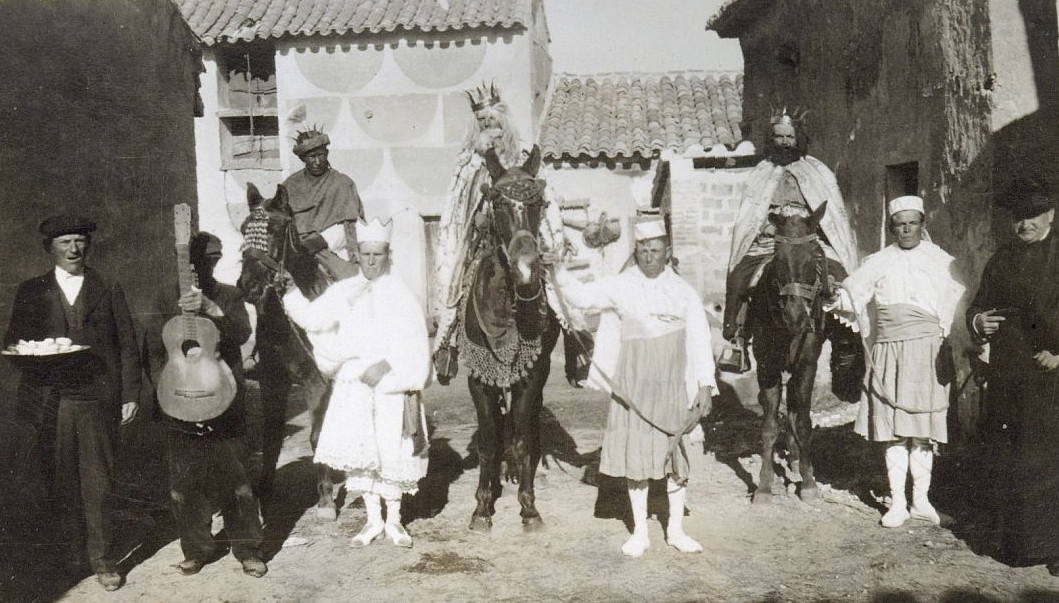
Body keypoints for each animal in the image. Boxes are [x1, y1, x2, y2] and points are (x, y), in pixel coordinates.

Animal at [236, 183, 338, 517]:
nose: (248, 284)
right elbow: (271, 437)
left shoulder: (316, 381)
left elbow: (317, 435)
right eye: (243, 228)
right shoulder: (273, 382)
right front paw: (263, 489)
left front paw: (325, 498)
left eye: (276, 230)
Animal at [455, 146, 563, 531]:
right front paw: (482, 506)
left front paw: (528, 508)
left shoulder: (532, 375)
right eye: (498, 203)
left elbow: (522, 439)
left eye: (539, 203)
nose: (527, 272)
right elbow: (489, 440)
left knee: (525, 425)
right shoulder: (478, 378)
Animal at [745, 202, 851, 502]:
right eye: (778, 260)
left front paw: (809, 483)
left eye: (814, 258)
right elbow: (769, 425)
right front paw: (764, 486)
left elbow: (802, 422)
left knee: (794, 409)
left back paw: (797, 462)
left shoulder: (807, 364)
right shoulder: (767, 366)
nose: (795, 316)